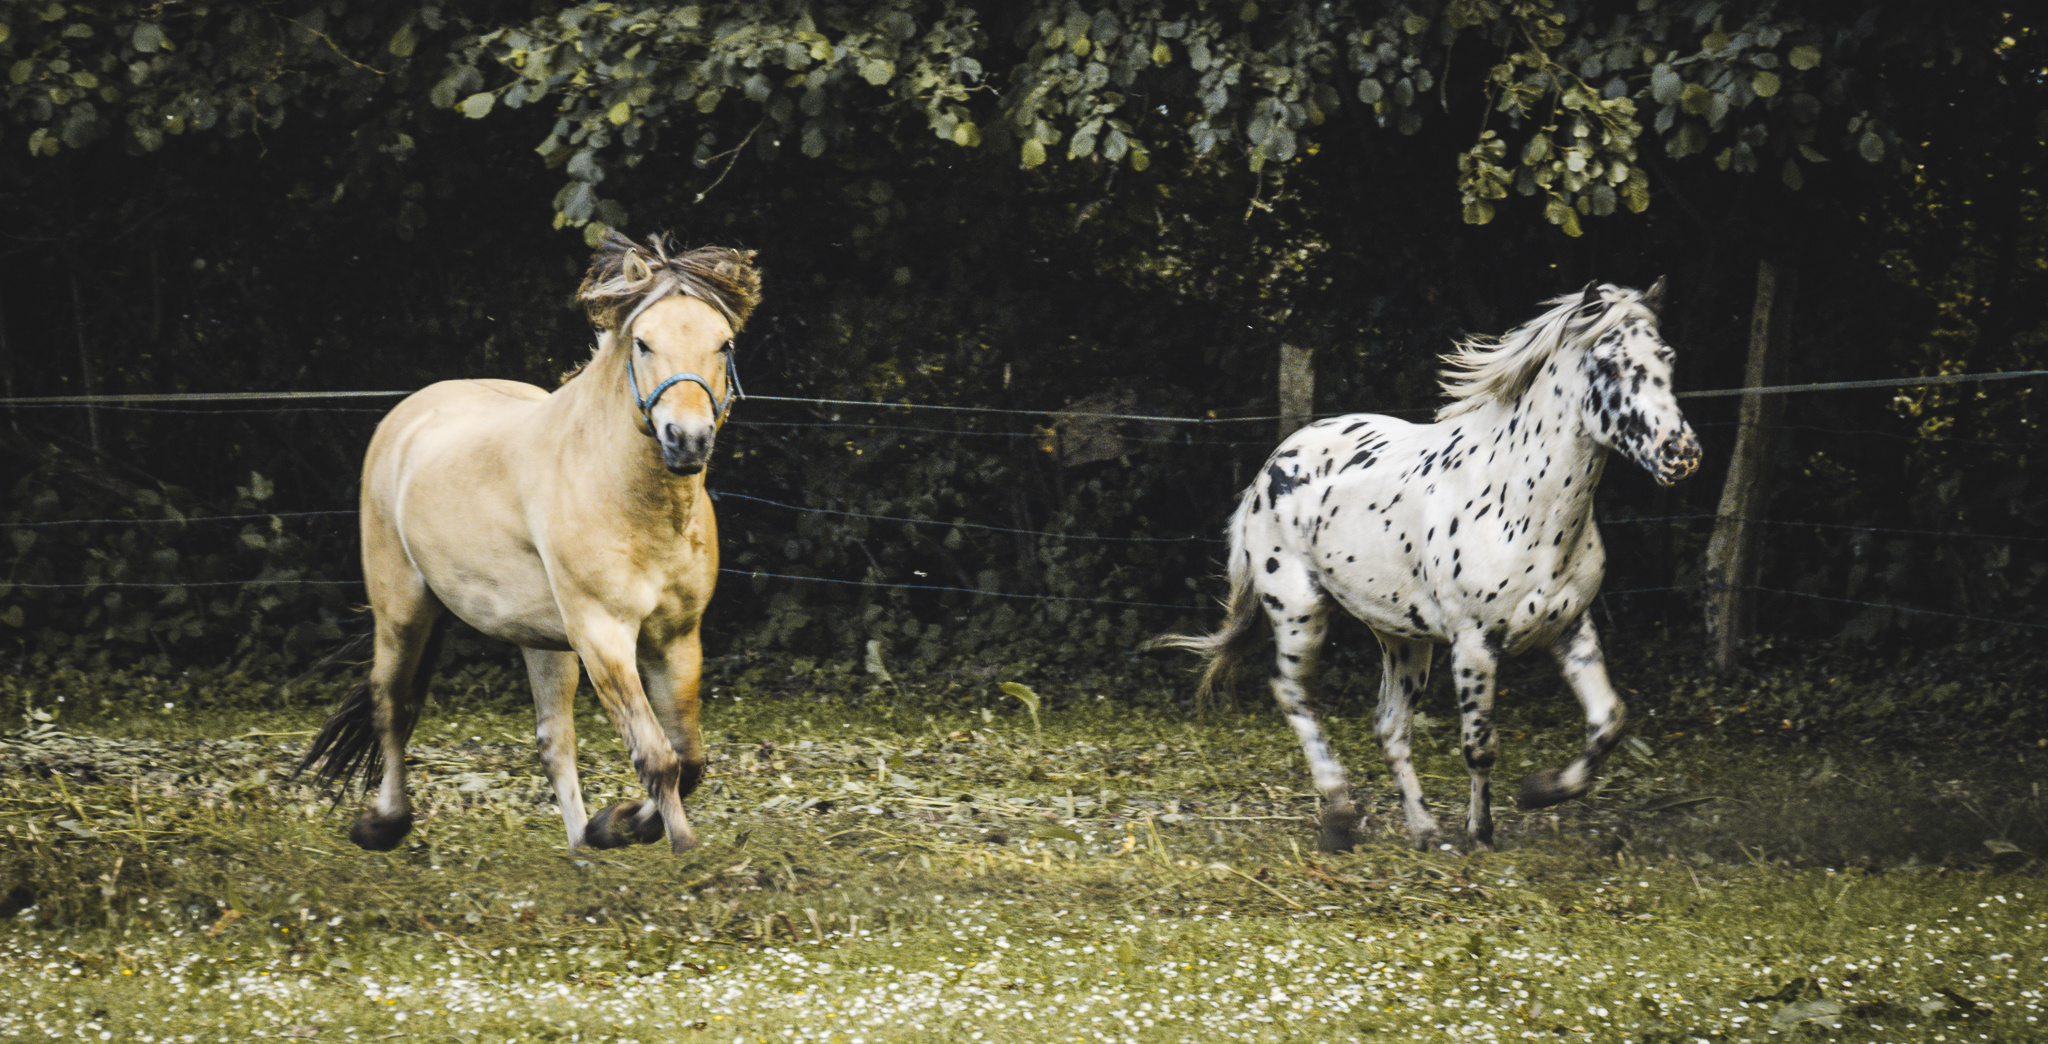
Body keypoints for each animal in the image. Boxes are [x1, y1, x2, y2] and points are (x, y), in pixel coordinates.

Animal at [296, 232, 761, 851]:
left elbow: (688, 760)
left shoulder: (676, 639)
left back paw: (582, 846)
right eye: (643, 343)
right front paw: (676, 845)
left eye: (723, 343)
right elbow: (657, 757)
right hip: (402, 611)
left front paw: (614, 825)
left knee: (553, 739)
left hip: (543, 642)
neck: (624, 492)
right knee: (392, 703)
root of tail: (408, 414)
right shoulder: (604, 636)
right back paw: (383, 823)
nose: (687, 439)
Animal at [1163, 280, 1703, 851]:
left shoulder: (1570, 627)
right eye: (1610, 364)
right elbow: (1480, 746)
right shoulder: (1473, 644)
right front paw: (1481, 833)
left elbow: (1609, 720)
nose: (1681, 453)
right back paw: (1338, 816)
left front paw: (1542, 791)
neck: (1523, 504)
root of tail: (1272, 464)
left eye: (1667, 358)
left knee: (1389, 726)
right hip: (1299, 612)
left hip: (1402, 638)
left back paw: (1423, 830)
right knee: (1293, 694)